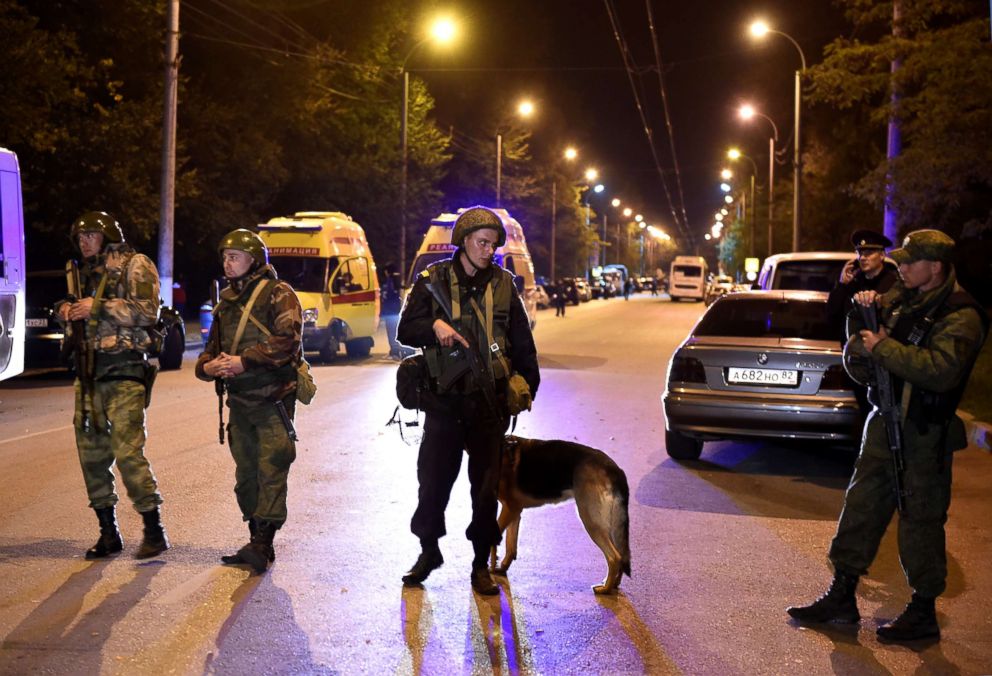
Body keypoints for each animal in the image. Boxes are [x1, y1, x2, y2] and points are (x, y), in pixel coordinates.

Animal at [492, 436, 632, 596]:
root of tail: (615, 469)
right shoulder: (514, 511)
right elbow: (510, 545)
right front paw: (502, 567)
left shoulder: (509, 509)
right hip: (608, 524)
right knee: (621, 555)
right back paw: (614, 584)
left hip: (591, 521)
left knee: (614, 557)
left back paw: (605, 589)